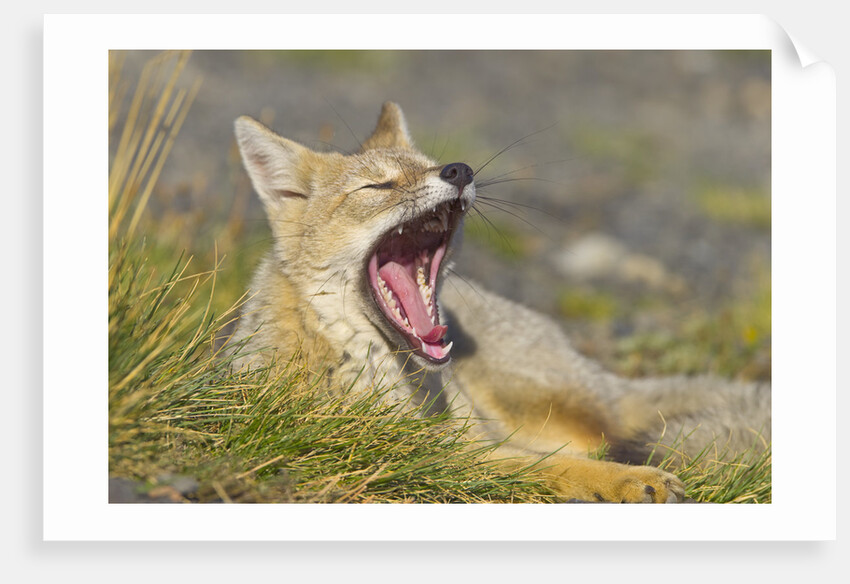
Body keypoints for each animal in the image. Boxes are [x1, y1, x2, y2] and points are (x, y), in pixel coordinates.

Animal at [231, 101, 770, 503]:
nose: (459, 169)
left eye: (431, 166)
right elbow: (549, 467)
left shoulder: (467, 442)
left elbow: (554, 462)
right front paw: (628, 481)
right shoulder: (443, 455)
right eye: (378, 185)